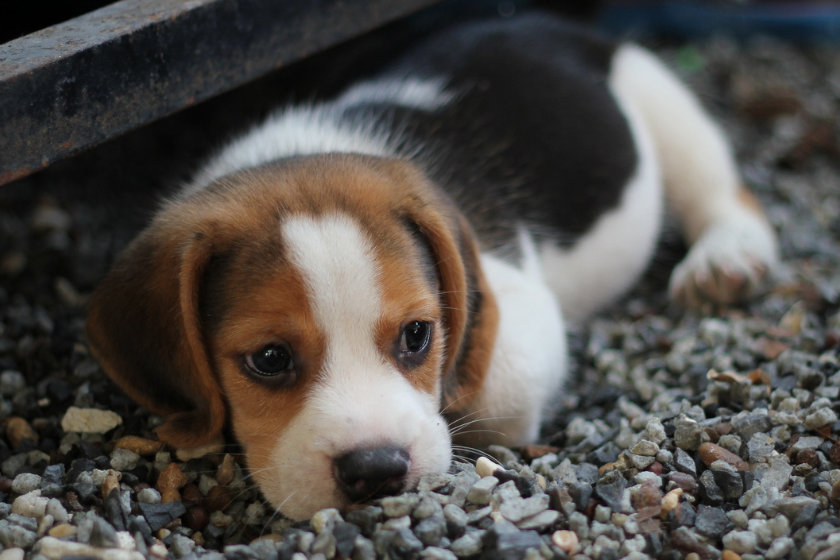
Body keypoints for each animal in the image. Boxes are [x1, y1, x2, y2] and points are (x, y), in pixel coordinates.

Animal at [83, 13, 776, 520]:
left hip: (658, 98)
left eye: (417, 336)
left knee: (721, 189)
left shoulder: (518, 306)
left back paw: (727, 258)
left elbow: (488, 386)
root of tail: (541, 22)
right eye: (270, 359)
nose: (377, 470)